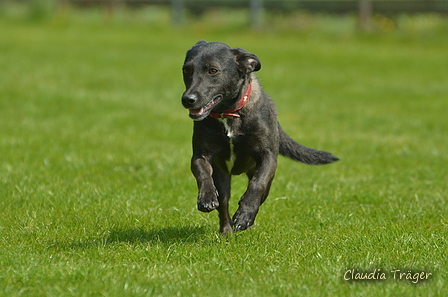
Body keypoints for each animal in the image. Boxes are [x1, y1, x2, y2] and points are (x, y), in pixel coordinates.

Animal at [180, 40, 338, 234]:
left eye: (213, 71)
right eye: (186, 70)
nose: (187, 99)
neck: (229, 114)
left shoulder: (267, 157)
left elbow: (257, 185)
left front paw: (244, 215)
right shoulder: (201, 155)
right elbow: (203, 174)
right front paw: (206, 197)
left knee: (259, 194)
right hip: (222, 176)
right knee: (224, 202)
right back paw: (227, 230)